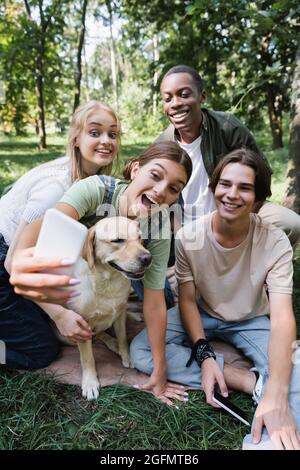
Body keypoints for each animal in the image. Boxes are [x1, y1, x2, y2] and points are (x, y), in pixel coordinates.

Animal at [71, 217, 151, 400]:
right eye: (118, 240)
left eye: (140, 238)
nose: (147, 258)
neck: (109, 282)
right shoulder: (81, 325)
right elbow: (87, 357)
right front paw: (90, 382)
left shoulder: (119, 314)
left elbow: (122, 337)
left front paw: (126, 354)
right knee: (97, 335)